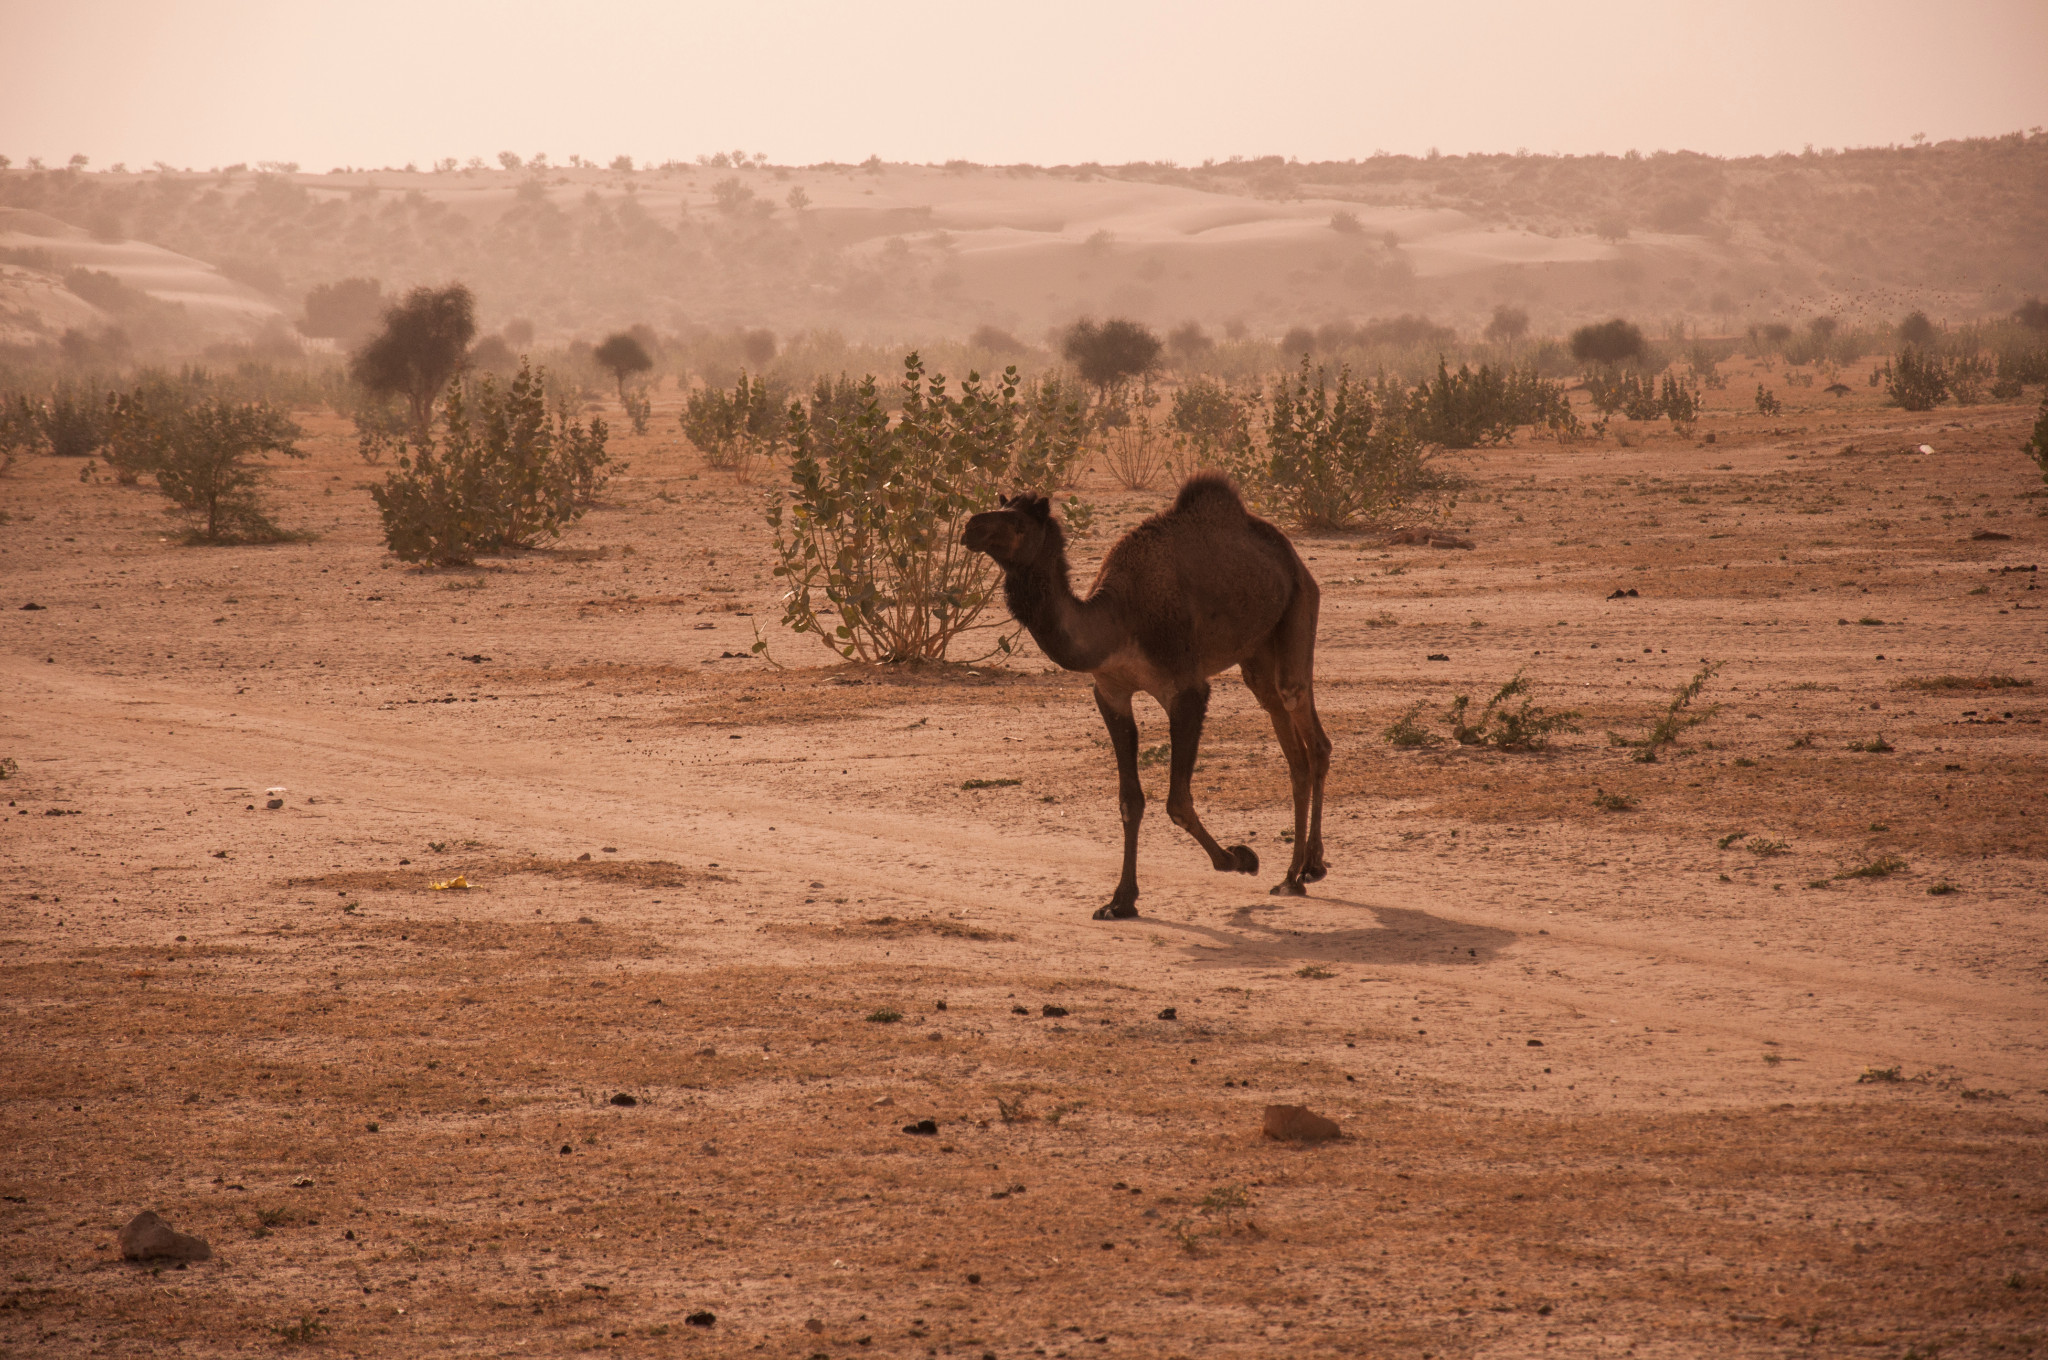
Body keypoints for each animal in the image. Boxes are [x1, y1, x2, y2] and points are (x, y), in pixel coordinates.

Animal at [958, 473, 1327, 917]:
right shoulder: (1111, 692)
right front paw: (1120, 901)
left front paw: (1239, 858)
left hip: (1299, 606)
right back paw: (1294, 874)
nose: (970, 527)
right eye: (1001, 507)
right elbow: (1129, 801)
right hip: (1256, 651)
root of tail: (1290, 554)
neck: (1117, 624)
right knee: (1290, 743)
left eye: (1016, 523)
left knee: (1305, 719)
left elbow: (1177, 801)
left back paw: (1306, 872)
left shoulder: (1185, 689)